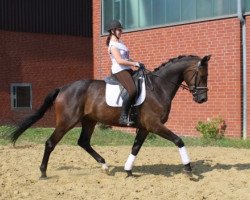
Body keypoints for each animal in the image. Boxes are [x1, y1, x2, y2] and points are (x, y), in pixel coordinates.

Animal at [8, 54, 211, 178]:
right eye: (201, 75)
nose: (202, 99)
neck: (159, 88)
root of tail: (63, 88)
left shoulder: (145, 128)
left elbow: (135, 148)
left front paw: (128, 171)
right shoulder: (154, 125)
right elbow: (179, 140)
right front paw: (188, 169)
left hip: (89, 121)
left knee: (83, 142)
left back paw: (104, 165)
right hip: (67, 121)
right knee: (51, 143)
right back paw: (43, 173)